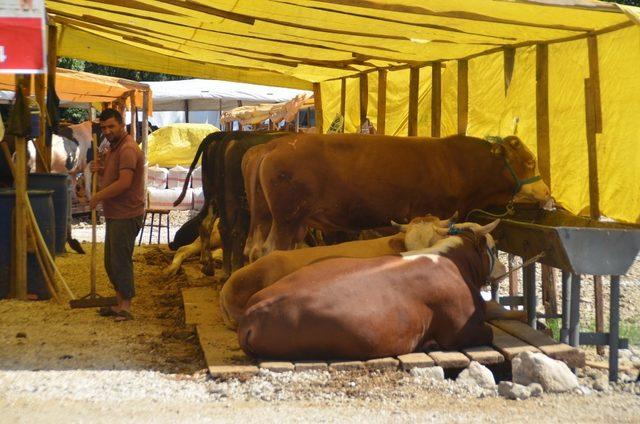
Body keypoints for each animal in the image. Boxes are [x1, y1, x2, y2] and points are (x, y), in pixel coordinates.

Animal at [245, 132, 552, 260]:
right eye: (530, 161)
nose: (547, 191)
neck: (457, 164)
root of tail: (275, 145)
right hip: (287, 218)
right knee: (269, 250)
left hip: (264, 217)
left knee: (253, 249)